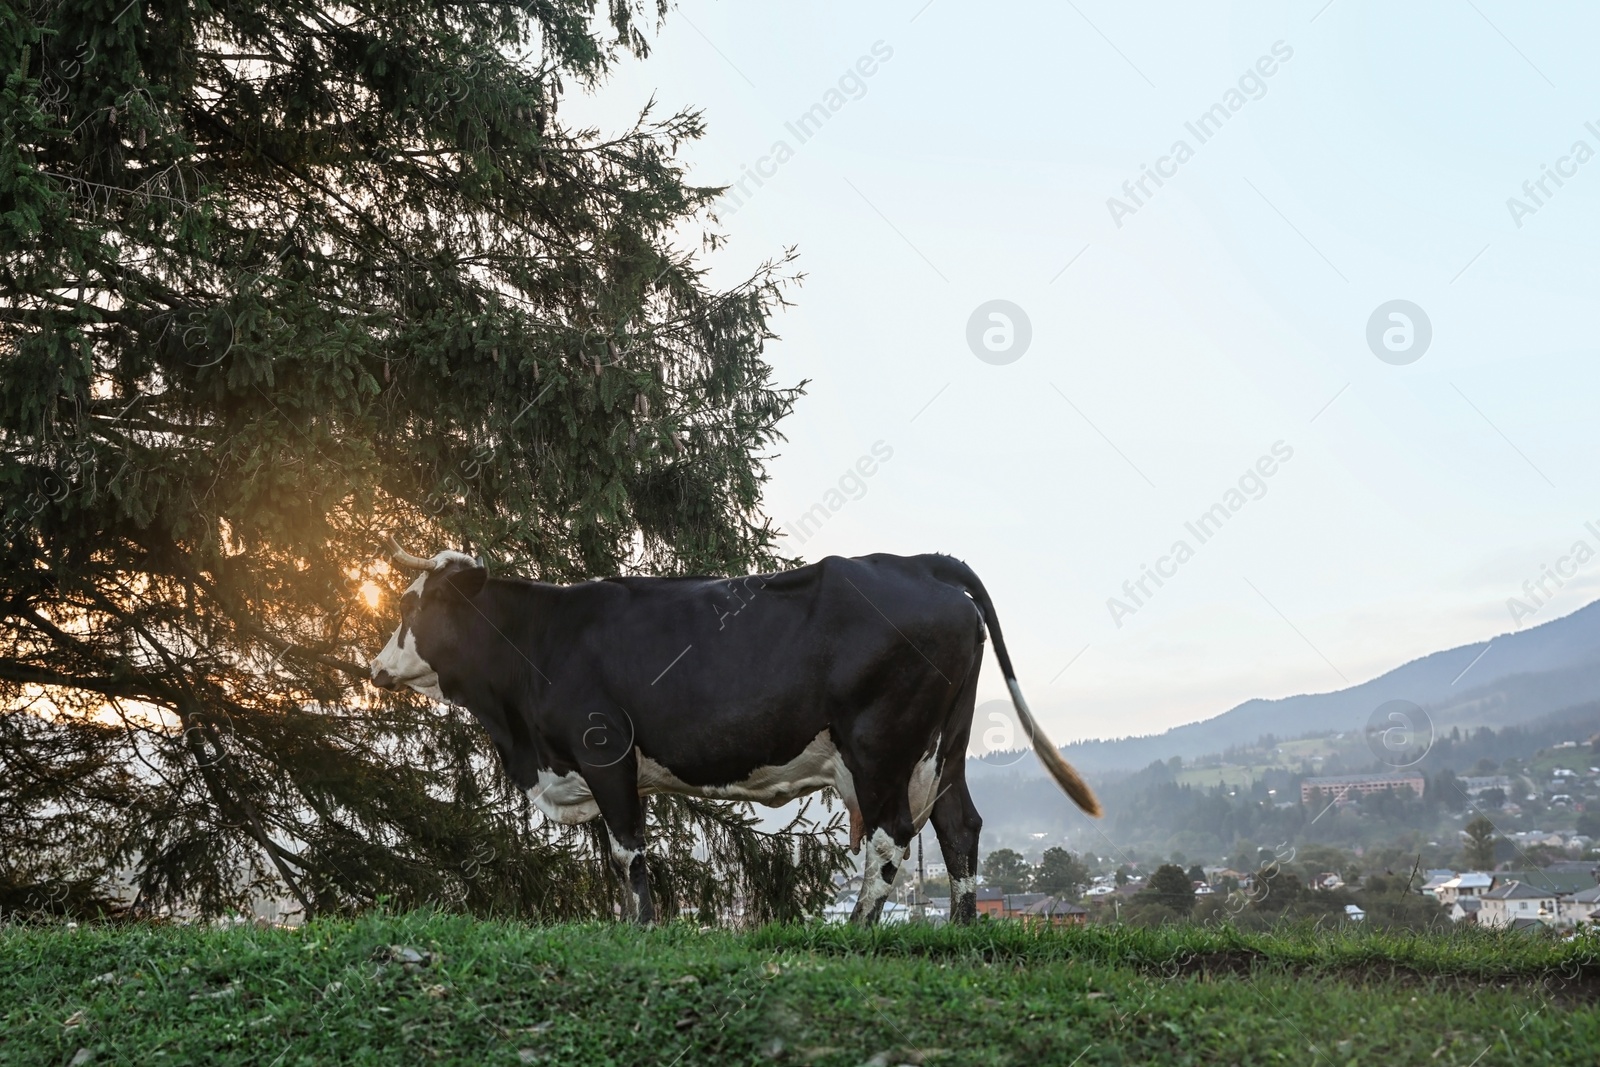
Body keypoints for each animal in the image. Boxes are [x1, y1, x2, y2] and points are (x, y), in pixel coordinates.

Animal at [369, 543, 1100, 927]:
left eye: (409, 606)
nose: (373, 668)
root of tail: (915, 561)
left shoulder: (606, 753)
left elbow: (628, 852)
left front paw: (643, 929)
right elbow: (617, 856)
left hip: (878, 744)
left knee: (893, 832)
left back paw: (859, 930)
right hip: (942, 743)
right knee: (958, 825)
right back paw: (958, 930)